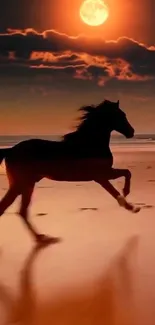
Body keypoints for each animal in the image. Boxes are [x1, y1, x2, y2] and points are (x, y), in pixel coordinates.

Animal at [0, 98, 139, 243]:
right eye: (121, 115)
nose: (132, 132)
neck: (91, 144)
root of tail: (10, 150)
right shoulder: (101, 176)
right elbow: (120, 183)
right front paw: (129, 203)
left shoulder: (104, 174)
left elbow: (126, 174)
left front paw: (129, 201)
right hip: (22, 184)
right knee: (12, 208)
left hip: (25, 185)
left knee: (19, 210)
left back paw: (42, 238)